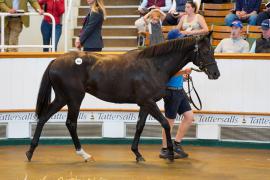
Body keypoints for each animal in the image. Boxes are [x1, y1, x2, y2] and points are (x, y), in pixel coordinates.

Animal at [25, 33, 220, 162]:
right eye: (205, 51)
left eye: (212, 50)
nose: (216, 74)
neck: (153, 65)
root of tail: (55, 61)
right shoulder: (149, 102)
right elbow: (165, 123)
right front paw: (170, 153)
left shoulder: (144, 104)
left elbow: (140, 126)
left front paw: (137, 153)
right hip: (74, 98)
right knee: (70, 123)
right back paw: (83, 154)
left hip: (62, 98)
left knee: (43, 117)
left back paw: (30, 152)